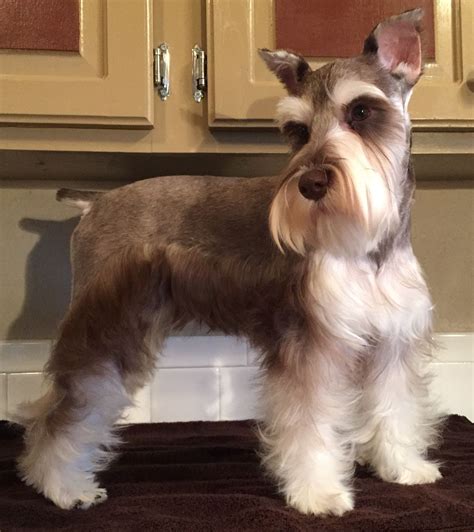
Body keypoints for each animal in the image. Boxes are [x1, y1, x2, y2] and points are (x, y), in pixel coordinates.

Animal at [17, 8, 440, 516]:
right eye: (298, 132)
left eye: (360, 112)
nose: (312, 183)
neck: (371, 247)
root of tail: (96, 201)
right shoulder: (310, 347)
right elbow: (310, 425)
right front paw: (317, 493)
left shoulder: (394, 340)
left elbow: (397, 407)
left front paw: (403, 467)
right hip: (102, 326)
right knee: (66, 410)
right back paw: (63, 486)